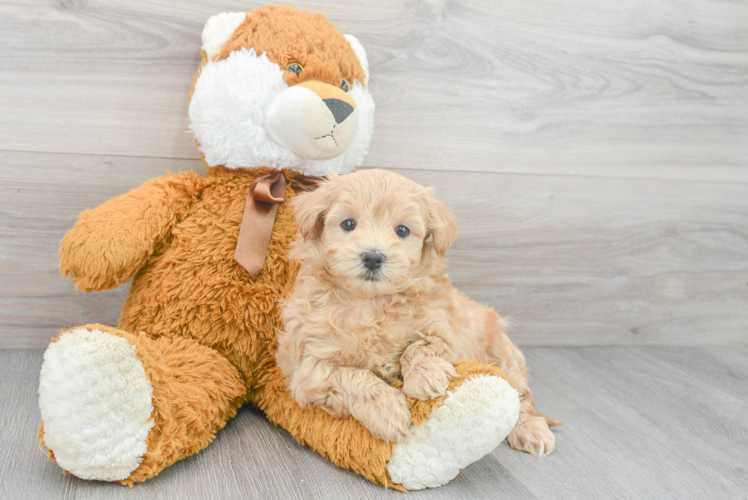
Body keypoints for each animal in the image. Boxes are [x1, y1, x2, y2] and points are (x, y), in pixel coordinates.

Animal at [278, 170, 560, 452]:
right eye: (348, 224)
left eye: (402, 230)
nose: (373, 257)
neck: (371, 302)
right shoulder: (311, 366)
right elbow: (353, 377)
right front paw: (388, 411)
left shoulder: (442, 323)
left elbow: (424, 345)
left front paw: (425, 377)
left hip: (502, 355)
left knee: (520, 395)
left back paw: (531, 431)